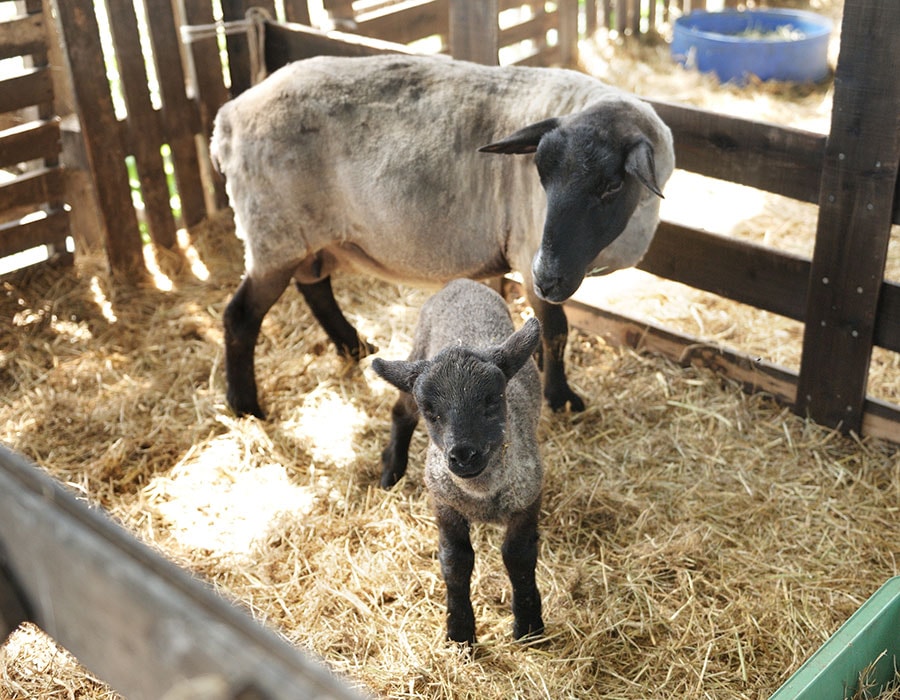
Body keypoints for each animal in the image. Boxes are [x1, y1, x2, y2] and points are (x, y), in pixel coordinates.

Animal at [211, 53, 672, 422]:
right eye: (540, 174)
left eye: (611, 186)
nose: (549, 275)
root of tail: (228, 117)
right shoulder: (529, 252)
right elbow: (556, 329)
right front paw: (560, 398)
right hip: (274, 234)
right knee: (241, 316)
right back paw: (245, 406)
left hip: (307, 236)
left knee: (315, 287)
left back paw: (355, 347)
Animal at [370, 278, 544, 644]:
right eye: (431, 411)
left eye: (493, 399)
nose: (463, 454)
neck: (482, 494)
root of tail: (460, 282)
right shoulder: (444, 501)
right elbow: (456, 561)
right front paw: (461, 630)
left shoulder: (528, 498)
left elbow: (518, 557)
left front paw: (528, 625)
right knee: (399, 413)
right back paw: (391, 469)